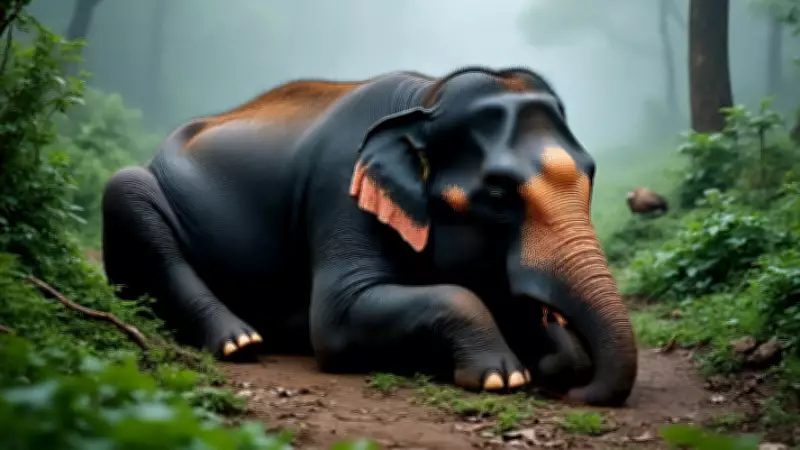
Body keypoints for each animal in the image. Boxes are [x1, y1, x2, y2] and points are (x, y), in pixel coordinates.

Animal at [100, 66, 638, 407]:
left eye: (592, 174)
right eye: (499, 194)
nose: (580, 395)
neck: (425, 100)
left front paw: (555, 363)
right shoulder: (339, 189)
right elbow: (336, 320)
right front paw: (500, 375)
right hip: (139, 191)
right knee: (126, 193)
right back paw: (241, 342)